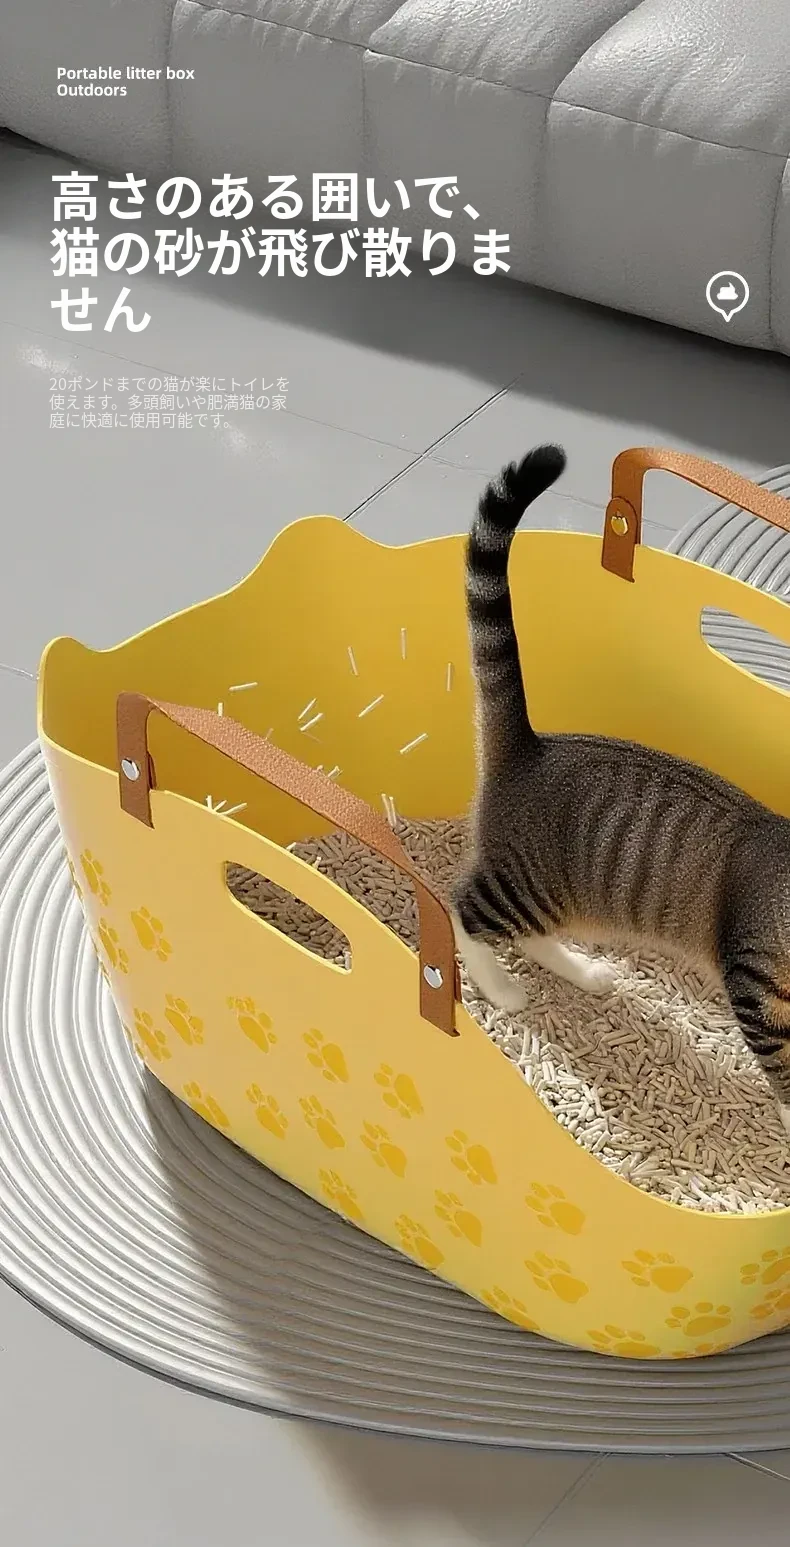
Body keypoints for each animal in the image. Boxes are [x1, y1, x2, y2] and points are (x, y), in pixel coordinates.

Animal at [452, 444, 790, 1138]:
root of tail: (533, 745)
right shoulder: (755, 981)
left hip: (574, 898)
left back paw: (585, 972)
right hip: (529, 883)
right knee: (460, 909)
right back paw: (499, 987)